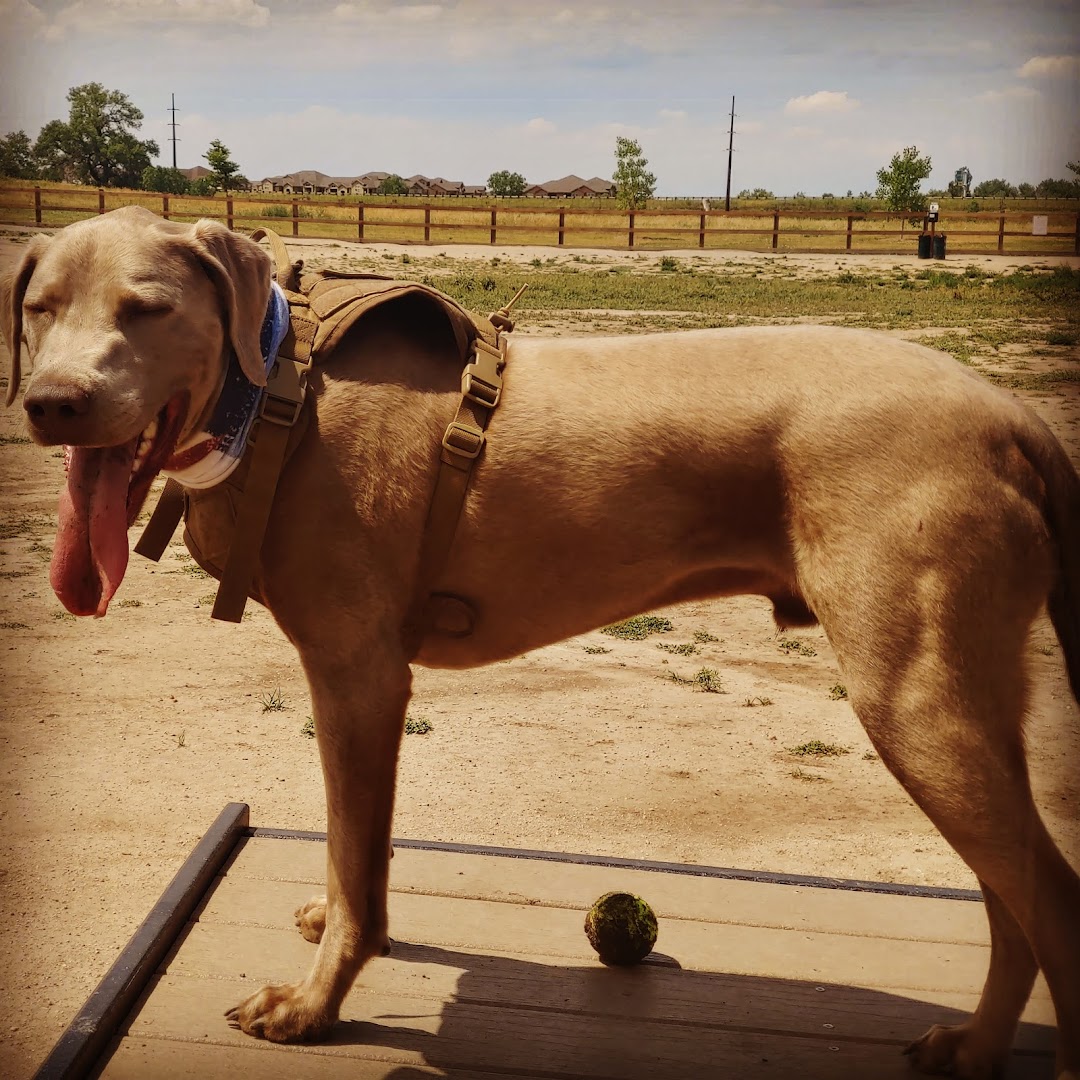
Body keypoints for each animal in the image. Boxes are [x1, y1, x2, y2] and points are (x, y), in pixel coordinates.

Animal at [2, 204, 1080, 1080]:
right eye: (40, 308)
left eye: (146, 308)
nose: (52, 402)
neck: (274, 393)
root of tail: (1012, 413)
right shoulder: (363, 687)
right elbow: (362, 856)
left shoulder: (357, 672)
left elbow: (355, 857)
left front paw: (311, 1006)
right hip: (967, 701)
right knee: (1012, 900)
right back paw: (976, 1046)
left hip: (915, 700)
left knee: (1050, 900)